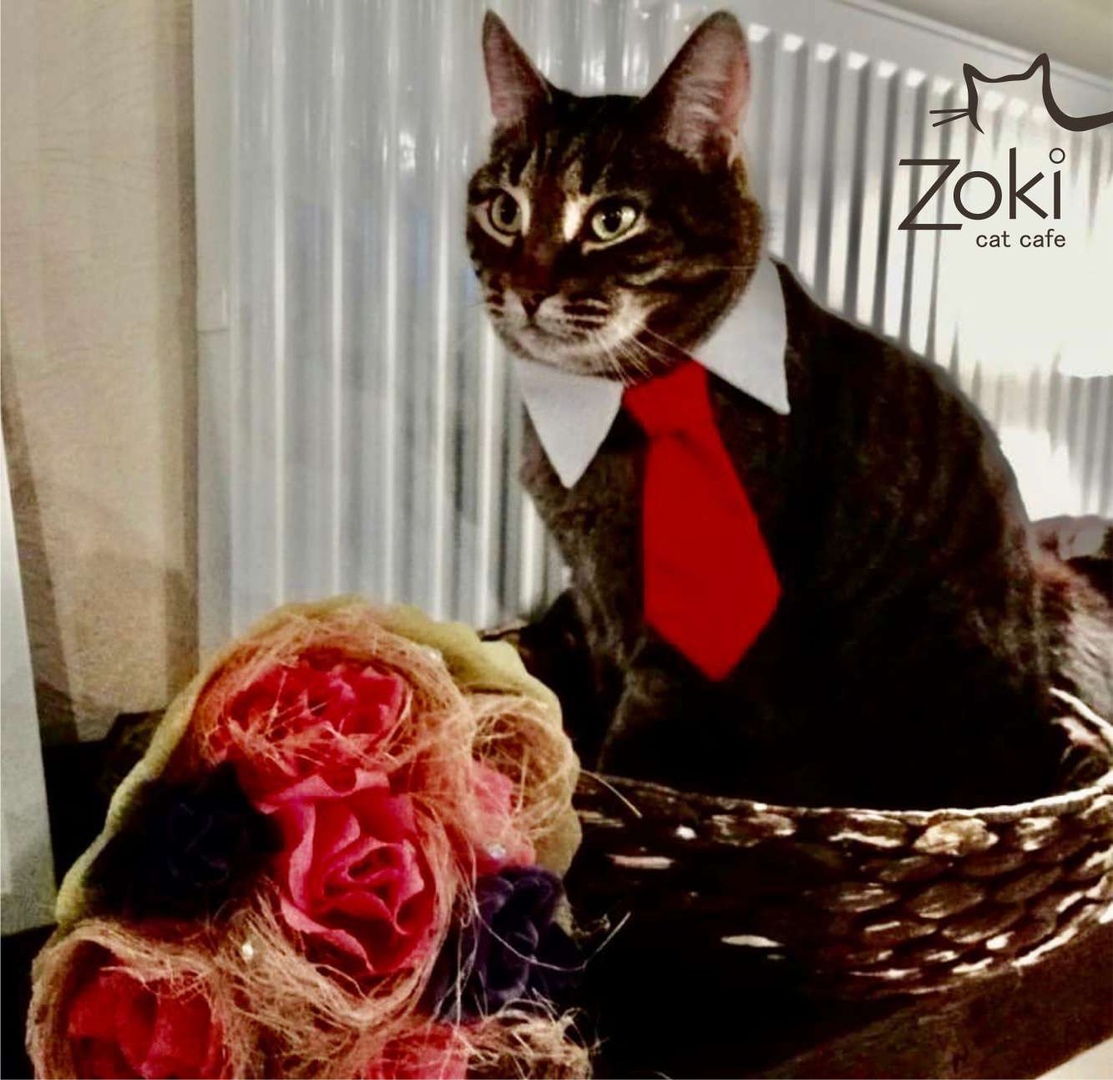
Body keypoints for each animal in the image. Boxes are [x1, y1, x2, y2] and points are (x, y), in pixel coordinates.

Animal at [467, 10, 1112, 809]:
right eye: (504, 210)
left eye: (612, 218)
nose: (526, 288)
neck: (614, 402)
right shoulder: (595, 602)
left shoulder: (697, 632)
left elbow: (642, 736)